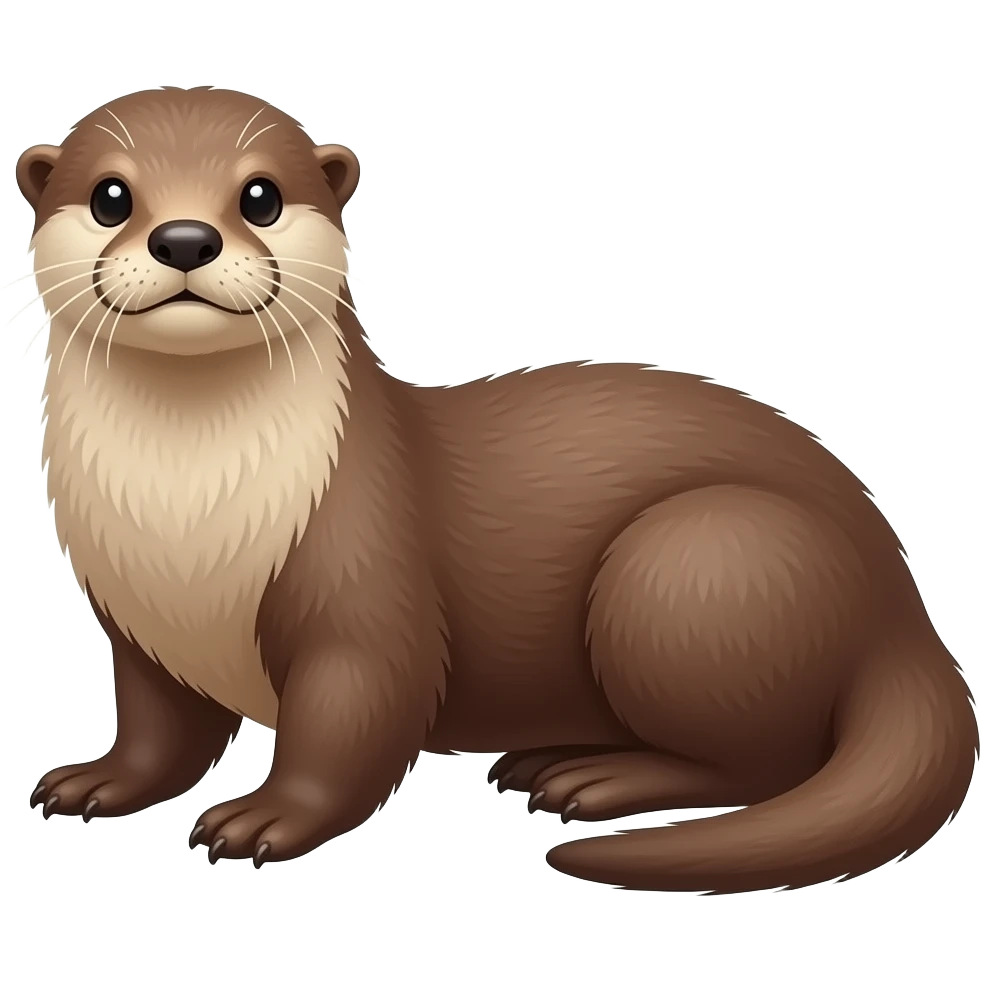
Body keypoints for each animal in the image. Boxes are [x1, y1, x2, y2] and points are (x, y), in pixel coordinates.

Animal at [18, 86, 977, 893]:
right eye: (111, 196)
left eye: (259, 195)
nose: (185, 239)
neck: (186, 530)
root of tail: (902, 609)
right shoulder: (135, 620)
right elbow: (159, 727)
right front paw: (99, 780)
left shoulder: (365, 585)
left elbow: (352, 720)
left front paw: (267, 818)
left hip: (702, 561)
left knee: (763, 759)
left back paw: (594, 777)